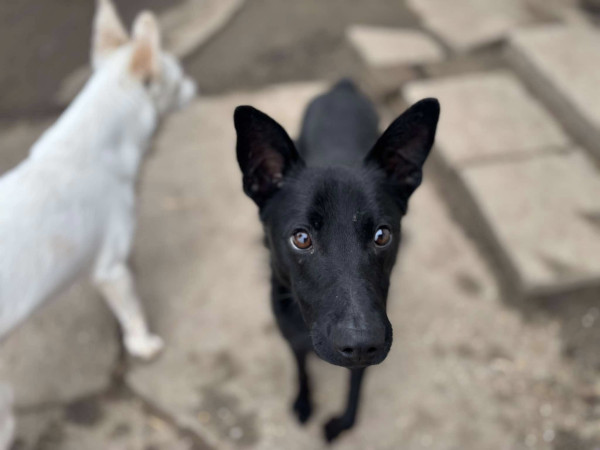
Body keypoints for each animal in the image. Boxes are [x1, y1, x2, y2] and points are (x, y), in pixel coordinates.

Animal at [234, 79, 439, 441]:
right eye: (301, 239)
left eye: (382, 235)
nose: (360, 345)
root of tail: (343, 86)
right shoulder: (291, 338)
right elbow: (302, 369)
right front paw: (304, 403)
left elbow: (355, 386)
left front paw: (344, 423)